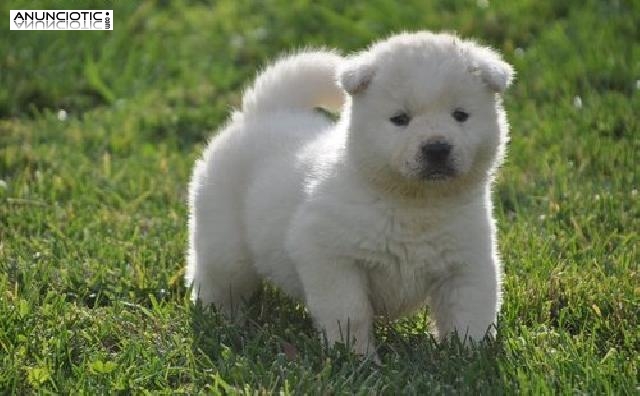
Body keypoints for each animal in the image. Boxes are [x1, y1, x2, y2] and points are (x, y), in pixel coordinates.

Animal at [184, 32, 510, 358]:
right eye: (400, 119)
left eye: (460, 115)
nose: (437, 148)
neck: (415, 205)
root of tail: (263, 113)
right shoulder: (332, 258)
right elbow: (351, 313)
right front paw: (357, 357)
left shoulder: (468, 262)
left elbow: (469, 313)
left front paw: (469, 355)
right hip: (225, 247)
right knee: (215, 280)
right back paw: (222, 320)